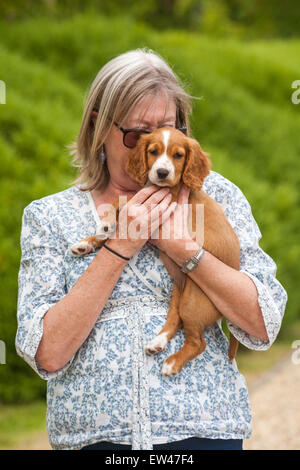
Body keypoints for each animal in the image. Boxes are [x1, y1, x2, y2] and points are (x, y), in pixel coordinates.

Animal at [69, 127, 239, 374]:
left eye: (178, 155)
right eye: (153, 152)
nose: (162, 172)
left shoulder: (165, 203)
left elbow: (124, 199)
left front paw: (105, 224)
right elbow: (121, 206)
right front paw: (89, 240)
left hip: (194, 300)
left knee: (198, 342)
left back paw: (171, 363)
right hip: (180, 292)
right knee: (175, 319)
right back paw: (157, 343)